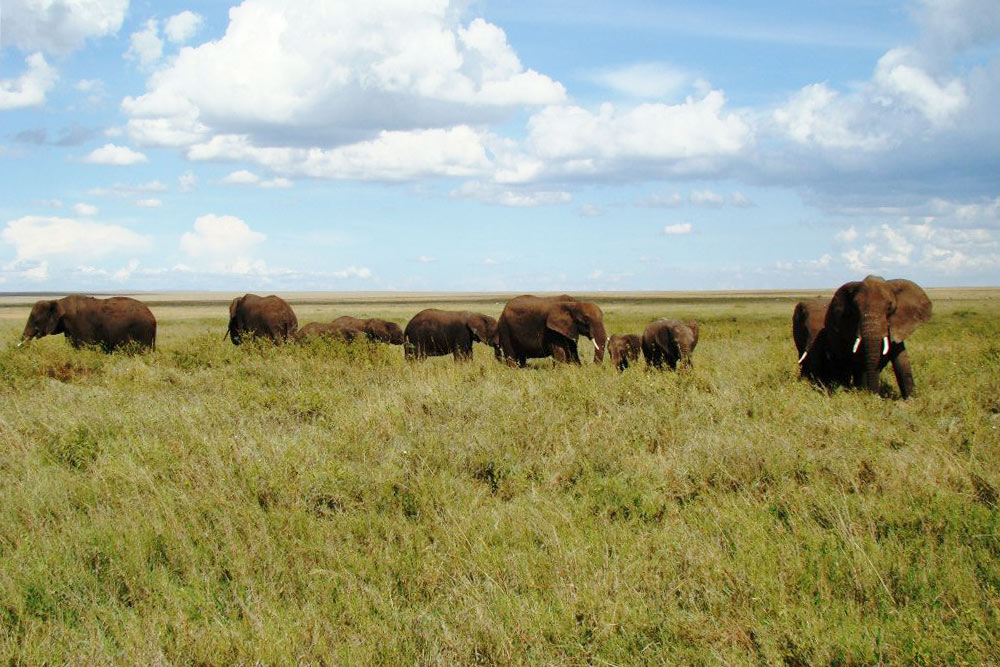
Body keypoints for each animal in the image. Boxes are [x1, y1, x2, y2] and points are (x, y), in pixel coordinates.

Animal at [19, 294, 155, 352]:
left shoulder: (78, 324)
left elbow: (82, 346)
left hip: (142, 331)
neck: (57, 301)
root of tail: (152, 317)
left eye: (35, 320)